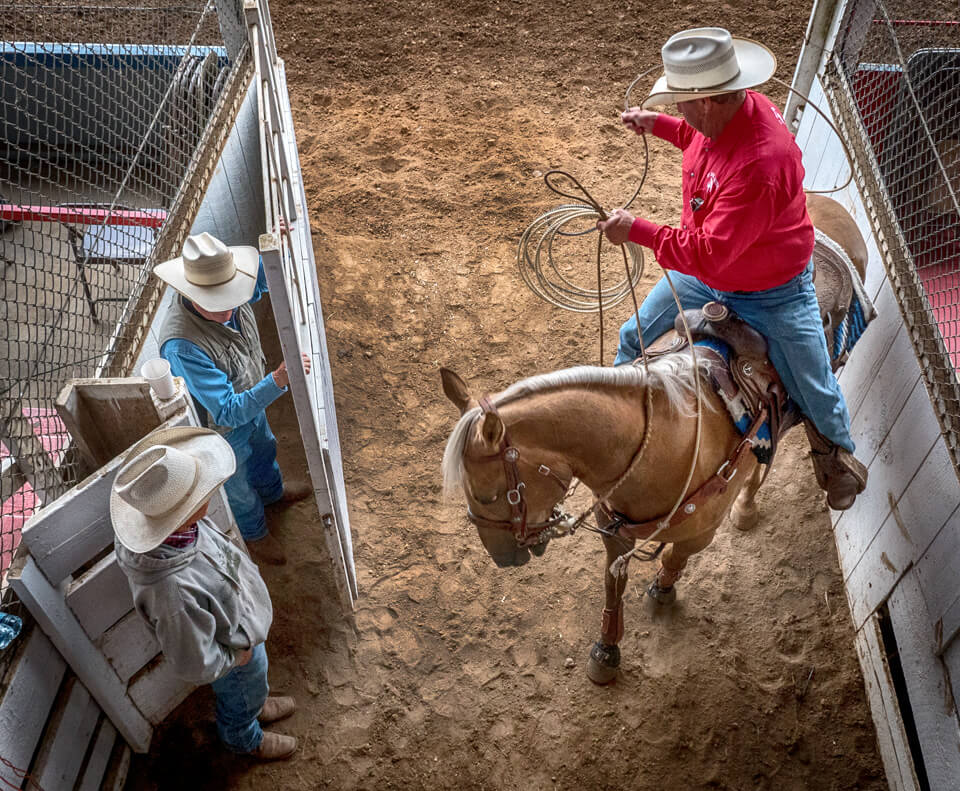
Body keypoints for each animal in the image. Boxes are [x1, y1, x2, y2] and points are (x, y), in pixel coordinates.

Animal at [442, 193, 872, 688]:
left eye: (489, 494)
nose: (501, 558)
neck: (666, 441)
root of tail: (826, 203)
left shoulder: (700, 532)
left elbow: (674, 560)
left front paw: (663, 592)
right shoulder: (614, 532)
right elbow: (613, 584)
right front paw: (606, 650)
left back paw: (780, 497)